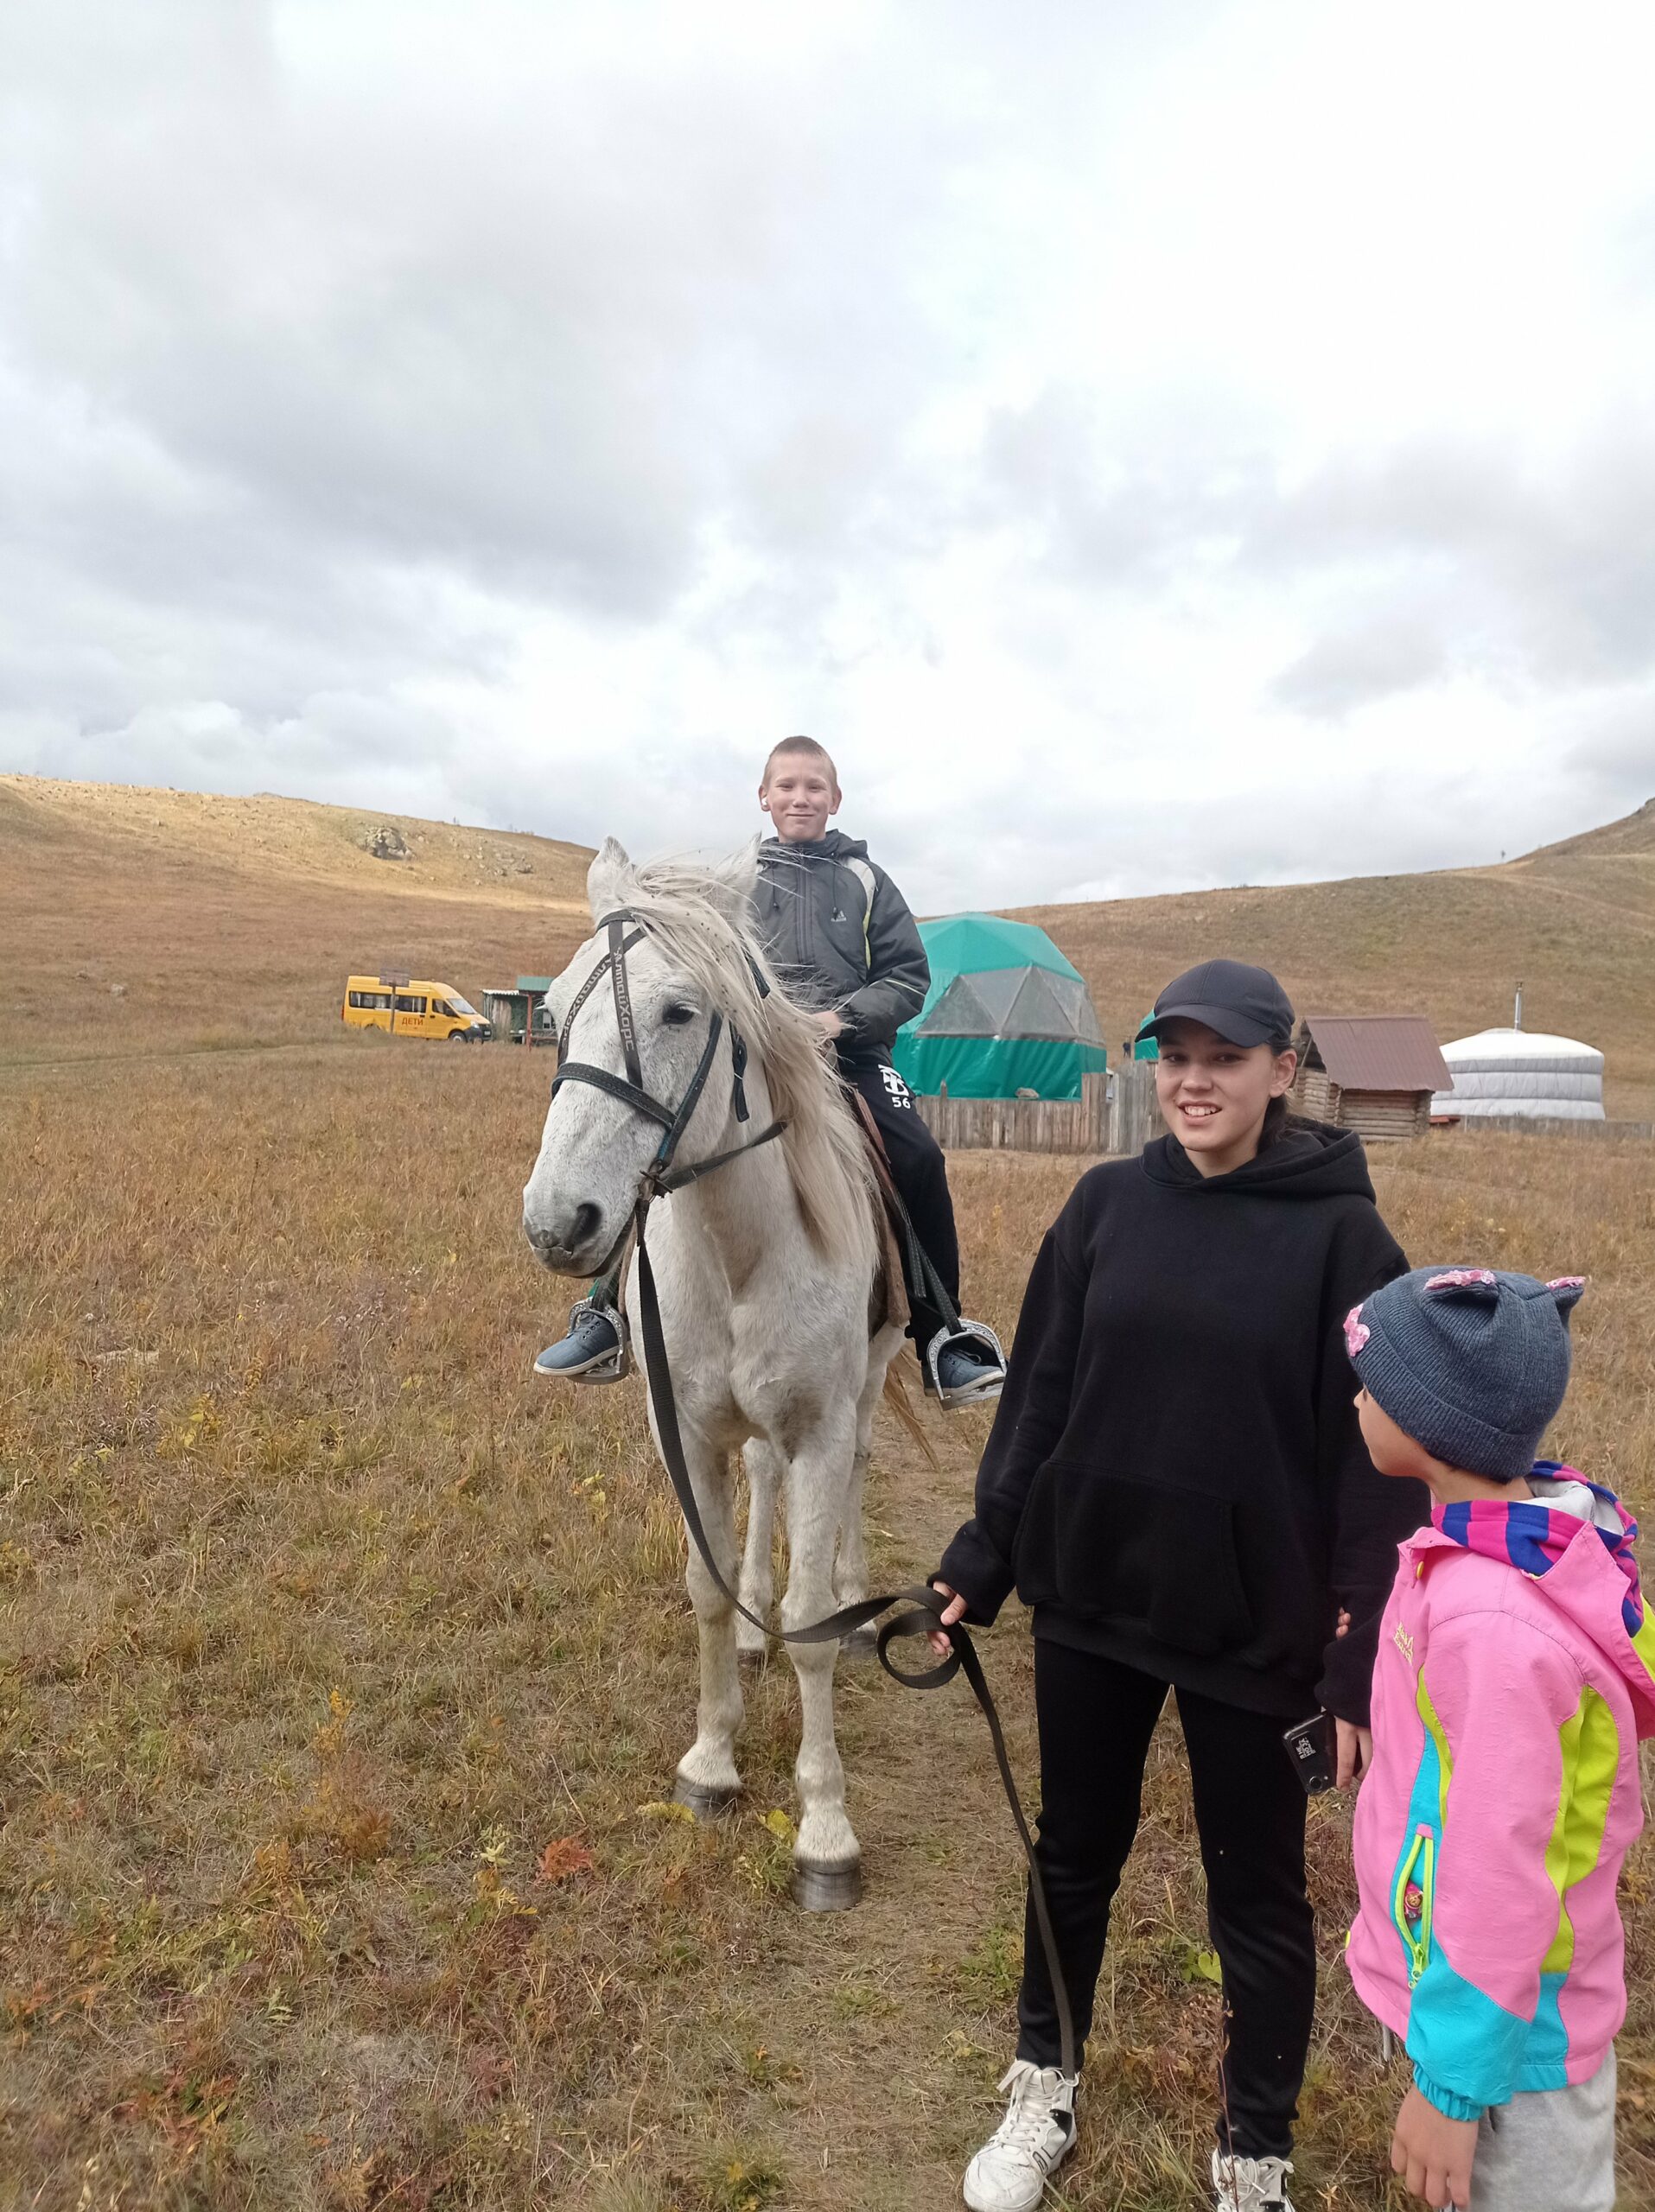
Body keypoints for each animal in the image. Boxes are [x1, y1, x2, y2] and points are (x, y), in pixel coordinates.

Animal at [519, 831, 907, 1902]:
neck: (738, 1250)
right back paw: (749, 1621)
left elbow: (811, 1619)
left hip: (868, 1388)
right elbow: (701, 1585)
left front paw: (826, 1830)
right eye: (551, 1009)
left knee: (854, 1480)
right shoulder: (683, 1431)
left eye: (680, 1011)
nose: (557, 1222)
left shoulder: (819, 1427)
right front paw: (710, 1761)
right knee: (761, 1482)